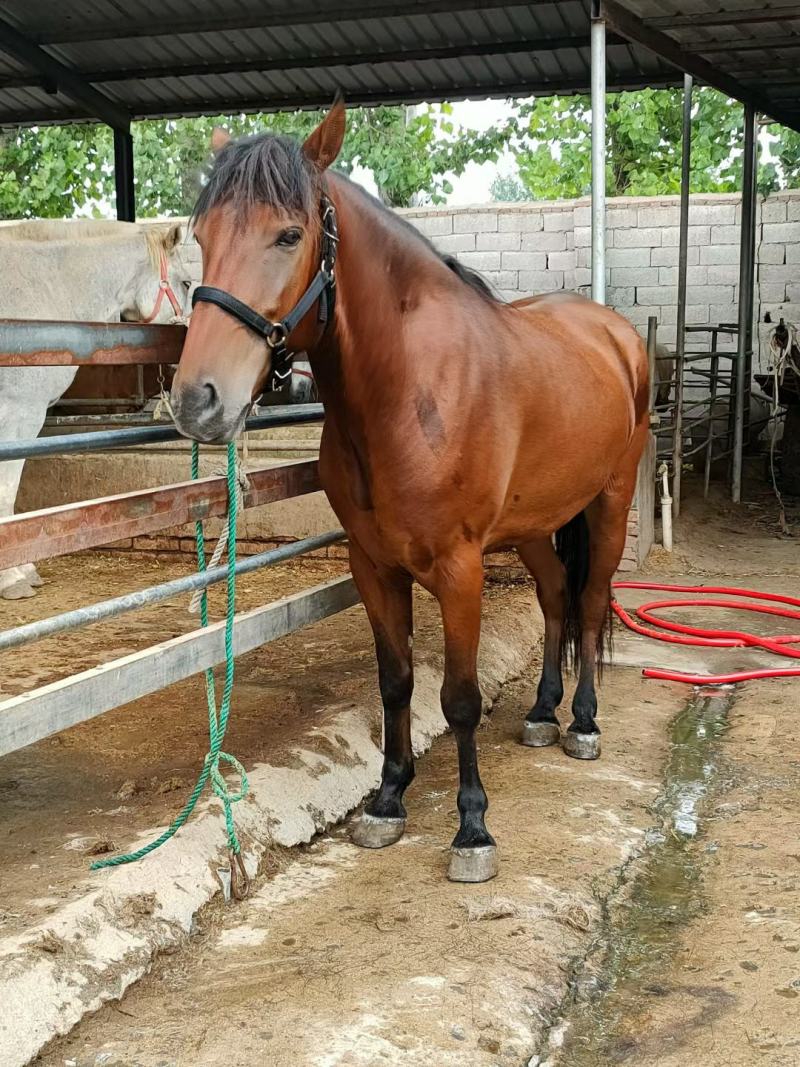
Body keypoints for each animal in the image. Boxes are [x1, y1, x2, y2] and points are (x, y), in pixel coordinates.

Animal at [170, 103, 650, 883]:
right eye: (203, 237)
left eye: (289, 234)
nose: (197, 400)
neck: (410, 390)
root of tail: (615, 333)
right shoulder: (373, 565)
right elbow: (395, 683)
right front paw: (388, 797)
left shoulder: (459, 570)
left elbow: (459, 697)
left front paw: (472, 828)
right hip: (532, 525)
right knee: (555, 596)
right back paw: (542, 713)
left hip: (608, 504)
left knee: (589, 598)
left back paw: (581, 721)